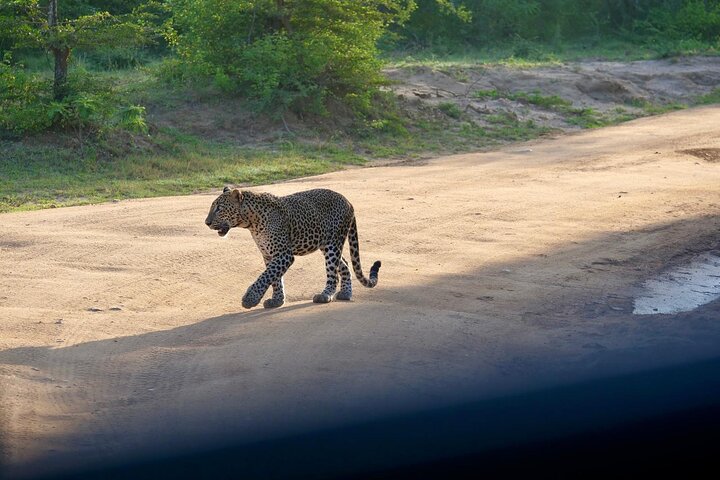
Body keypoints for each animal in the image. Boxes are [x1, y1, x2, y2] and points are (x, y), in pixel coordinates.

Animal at [205, 187, 381, 309]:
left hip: (333, 244)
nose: (206, 222)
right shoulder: (269, 255)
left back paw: (325, 295)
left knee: (333, 273)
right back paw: (345, 293)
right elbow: (274, 278)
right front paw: (276, 300)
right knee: (344, 264)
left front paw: (250, 299)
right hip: (327, 244)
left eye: (219, 208)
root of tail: (347, 201)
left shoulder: (283, 254)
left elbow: (265, 276)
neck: (251, 222)